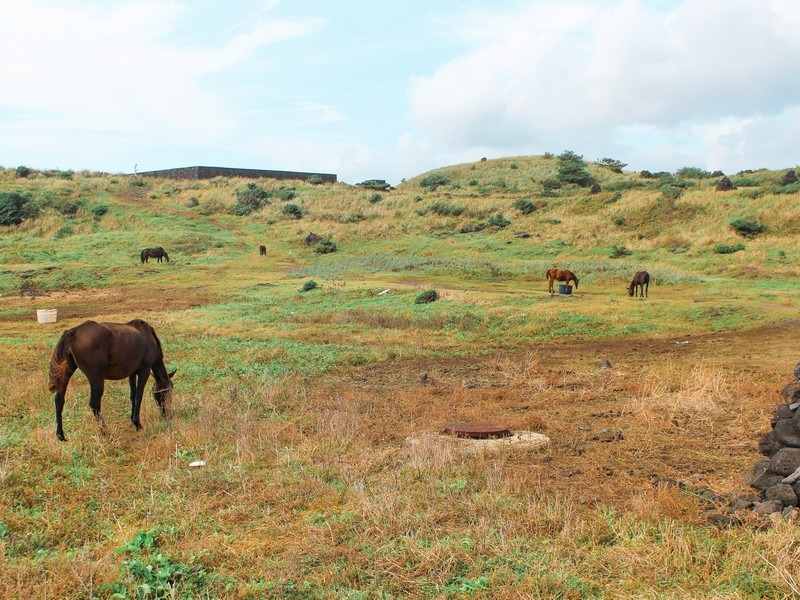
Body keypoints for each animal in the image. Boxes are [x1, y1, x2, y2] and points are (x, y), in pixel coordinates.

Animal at [49, 318, 177, 440]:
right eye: (169, 392)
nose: (166, 413)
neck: (147, 335)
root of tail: (72, 332)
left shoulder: (132, 373)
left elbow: (133, 396)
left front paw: (132, 420)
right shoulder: (144, 370)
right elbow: (138, 397)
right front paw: (138, 424)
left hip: (66, 373)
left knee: (59, 400)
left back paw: (60, 435)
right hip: (96, 379)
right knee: (94, 404)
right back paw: (106, 432)